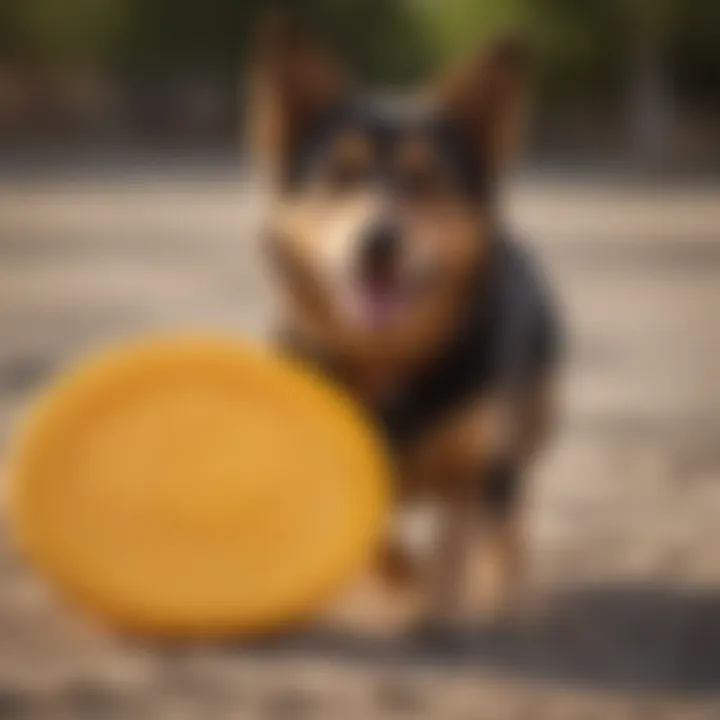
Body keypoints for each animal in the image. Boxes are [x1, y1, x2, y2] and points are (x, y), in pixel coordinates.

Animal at [250, 16, 560, 636]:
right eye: (339, 175)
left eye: (426, 179)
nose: (378, 242)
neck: (389, 359)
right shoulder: (338, 463)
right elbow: (374, 540)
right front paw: (405, 586)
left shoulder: (474, 462)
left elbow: (455, 542)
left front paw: (439, 602)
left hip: (521, 431)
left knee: (506, 520)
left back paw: (502, 590)